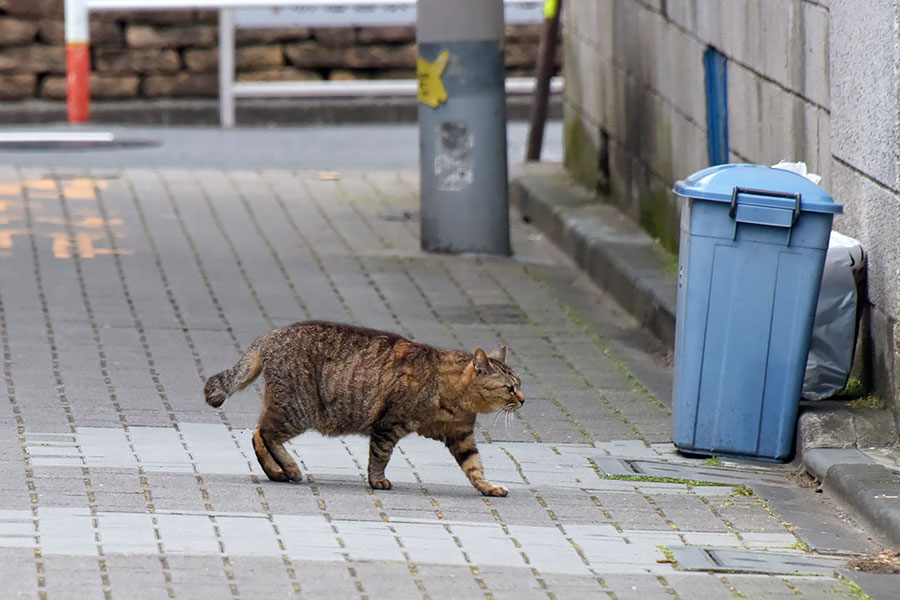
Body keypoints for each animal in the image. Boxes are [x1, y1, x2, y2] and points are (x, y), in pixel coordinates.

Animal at [205, 322, 524, 494]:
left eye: (520, 384)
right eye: (510, 387)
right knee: (265, 433)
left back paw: (278, 471)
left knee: (258, 433)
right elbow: (380, 457)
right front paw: (377, 480)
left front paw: (488, 487)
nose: (523, 399)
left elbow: (474, 466)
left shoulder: (461, 435)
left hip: (288, 409)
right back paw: (290, 468)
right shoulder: (389, 425)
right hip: (297, 410)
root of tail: (270, 335)